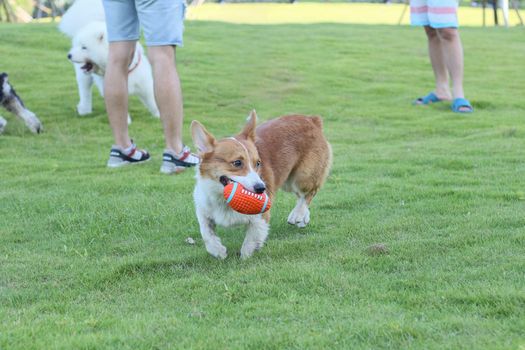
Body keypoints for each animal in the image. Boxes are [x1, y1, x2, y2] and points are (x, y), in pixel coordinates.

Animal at [191, 110, 332, 258]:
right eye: (237, 163)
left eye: (258, 163)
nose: (261, 188)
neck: (223, 199)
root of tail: (311, 119)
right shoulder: (203, 210)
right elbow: (206, 232)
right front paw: (218, 251)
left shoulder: (260, 217)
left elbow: (251, 239)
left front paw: (245, 257)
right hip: (287, 181)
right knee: (302, 196)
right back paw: (303, 218)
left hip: (300, 177)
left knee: (309, 193)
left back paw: (298, 214)